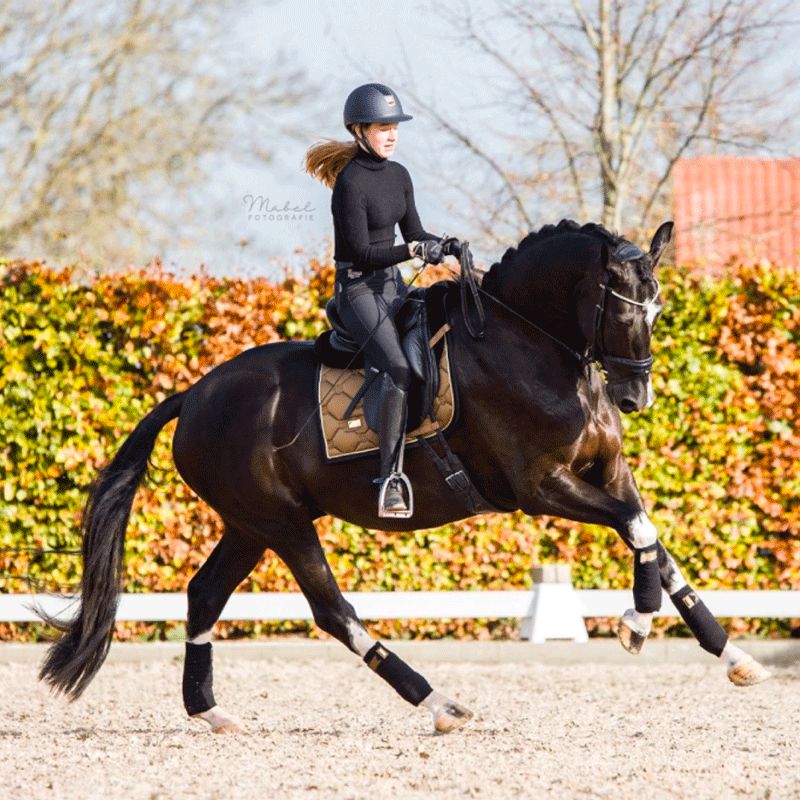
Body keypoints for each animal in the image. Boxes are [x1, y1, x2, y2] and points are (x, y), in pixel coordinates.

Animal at [37, 217, 768, 732]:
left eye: (660, 308)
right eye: (618, 307)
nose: (636, 397)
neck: (534, 344)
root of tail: (194, 395)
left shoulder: (607, 469)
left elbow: (652, 539)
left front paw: (731, 655)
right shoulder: (539, 486)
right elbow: (634, 526)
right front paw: (637, 623)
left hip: (249, 524)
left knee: (204, 594)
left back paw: (210, 711)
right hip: (283, 523)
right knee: (332, 610)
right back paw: (438, 703)